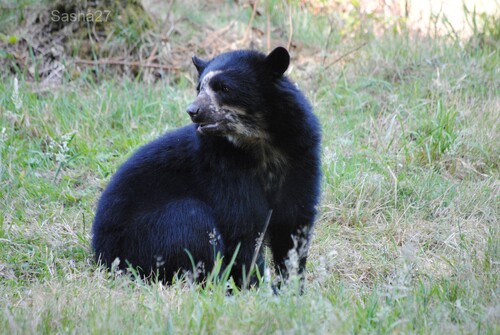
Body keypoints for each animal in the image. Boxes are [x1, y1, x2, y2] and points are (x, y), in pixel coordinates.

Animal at [92, 47, 322, 288]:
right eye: (199, 88)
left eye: (225, 88)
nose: (193, 110)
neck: (259, 144)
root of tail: (100, 251)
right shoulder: (223, 169)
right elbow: (242, 225)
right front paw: (255, 285)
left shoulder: (300, 157)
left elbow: (293, 224)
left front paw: (292, 285)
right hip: (144, 238)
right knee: (192, 222)